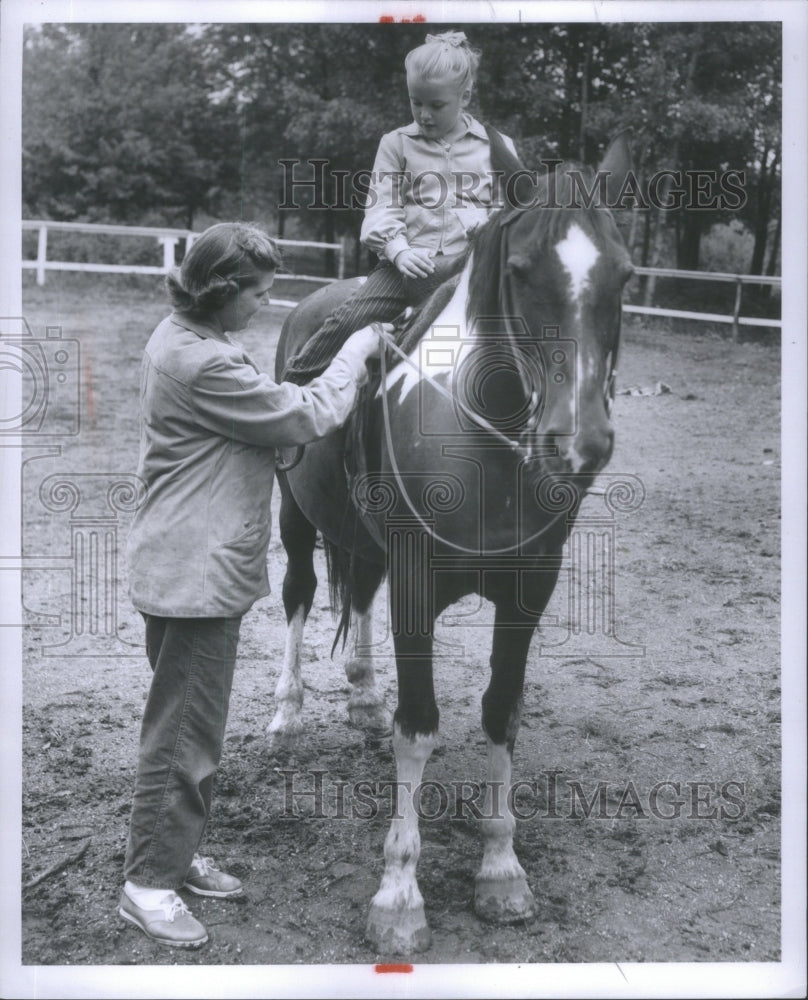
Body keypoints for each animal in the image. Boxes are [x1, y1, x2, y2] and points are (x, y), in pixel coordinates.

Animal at [270, 133, 632, 952]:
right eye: (521, 271)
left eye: (624, 274)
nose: (579, 443)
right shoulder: (415, 583)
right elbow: (420, 726)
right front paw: (399, 893)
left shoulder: (529, 591)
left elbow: (501, 712)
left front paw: (502, 870)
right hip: (296, 519)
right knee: (300, 596)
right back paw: (286, 711)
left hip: (363, 544)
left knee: (355, 595)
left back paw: (363, 699)